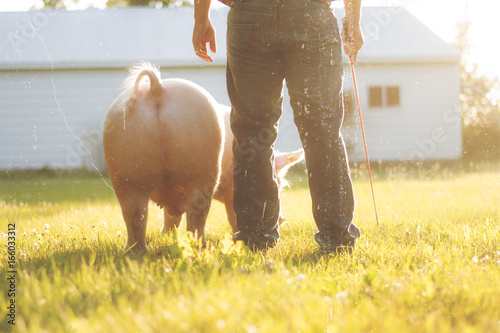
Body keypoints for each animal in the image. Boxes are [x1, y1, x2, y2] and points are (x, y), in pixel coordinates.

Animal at [103, 63, 302, 249]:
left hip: (123, 171)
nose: (283, 220)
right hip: (200, 168)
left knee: (134, 213)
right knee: (196, 211)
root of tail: (156, 88)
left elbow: (171, 215)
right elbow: (233, 214)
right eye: (279, 183)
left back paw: (137, 250)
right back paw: (200, 245)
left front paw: (165, 236)